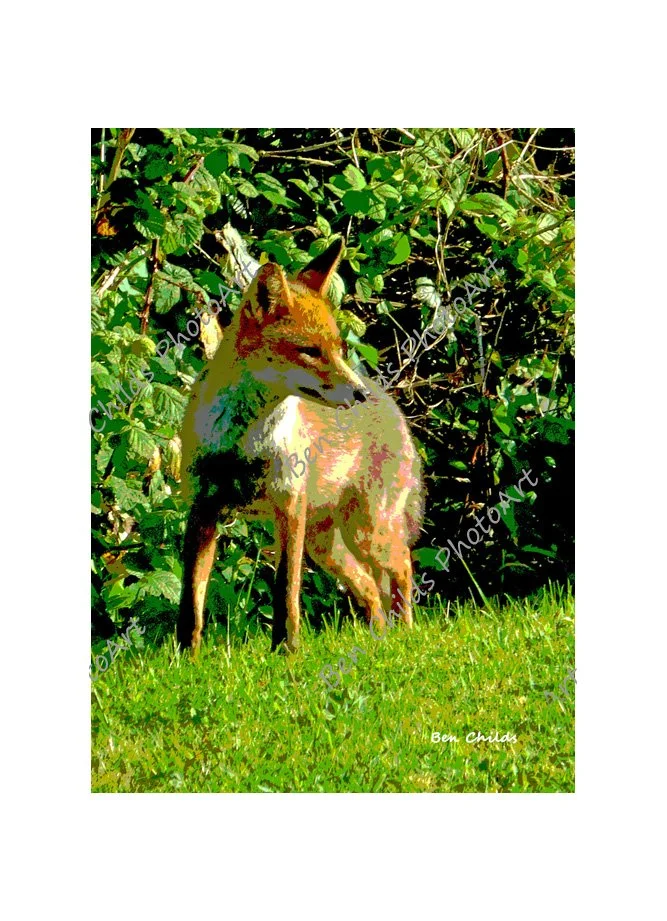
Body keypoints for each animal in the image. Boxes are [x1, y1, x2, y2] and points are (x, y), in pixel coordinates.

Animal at [178, 237, 424, 653]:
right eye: (310, 351)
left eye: (339, 348)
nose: (358, 394)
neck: (244, 443)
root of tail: (390, 402)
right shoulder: (203, 508)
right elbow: (191, 600)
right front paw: (186, 658)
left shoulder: (289, 505)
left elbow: (286, 591)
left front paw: (286, 651)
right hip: (325, 545)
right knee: (370, 589)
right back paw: (378, 642)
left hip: (367, 532)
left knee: (402, 569)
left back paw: (405, 635)